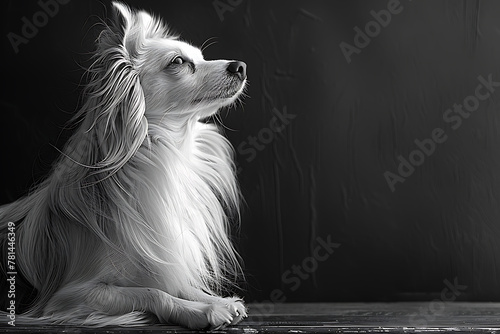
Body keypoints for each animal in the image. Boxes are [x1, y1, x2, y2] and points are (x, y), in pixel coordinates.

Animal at [0, 1, 248, 328]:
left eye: (202, 57)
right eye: (179, 62)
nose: (240, 66)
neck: (168, 152)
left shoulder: (160, 262)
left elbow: (177, 284)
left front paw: (217, 301)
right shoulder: (71, 296)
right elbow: (152, 293)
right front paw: (201, 312)